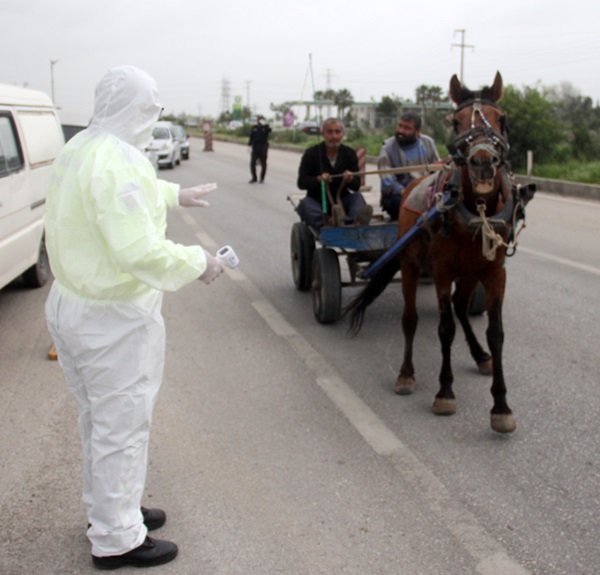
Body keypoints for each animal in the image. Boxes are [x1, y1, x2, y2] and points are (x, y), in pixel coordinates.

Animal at [346, 71, 536, 432]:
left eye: (502, 118)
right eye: (456, 121)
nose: (483, 162)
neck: (476, 211)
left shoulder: (494, 272)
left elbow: (496, 333)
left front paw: (501, 405)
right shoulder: (442, 272)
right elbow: (444, 329)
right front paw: (445, 392)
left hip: (469, 273)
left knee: (462, 307)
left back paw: (480, 356)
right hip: (409, 265)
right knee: (410, 319)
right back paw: (406, 374)